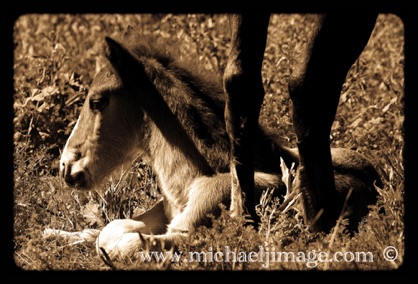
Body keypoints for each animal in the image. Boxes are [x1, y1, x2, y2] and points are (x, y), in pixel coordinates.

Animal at [59, 22, 382, 262]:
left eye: (97, 102)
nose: (65, 166)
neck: (191, 181)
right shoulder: (162, 212)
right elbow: (109, 228)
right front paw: (57, 236)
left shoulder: (193, 233)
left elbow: (120, 241)